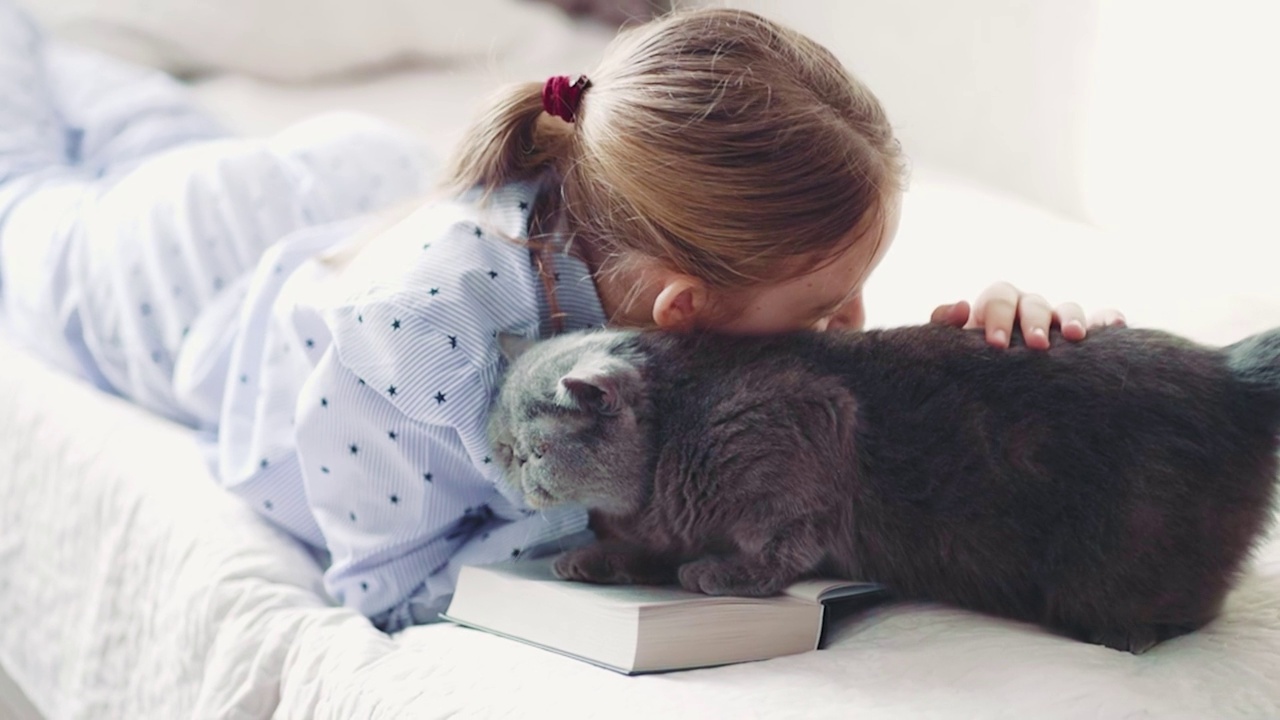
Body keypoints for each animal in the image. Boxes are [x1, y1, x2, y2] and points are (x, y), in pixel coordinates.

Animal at [483, 324, 1280, 650]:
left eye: (533, 451)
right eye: (503, 449)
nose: (508, 471)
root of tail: (1232, 370)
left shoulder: (809, 428)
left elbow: (780, 546)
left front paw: (720, 573)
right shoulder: (668, 519)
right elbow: (648, 546)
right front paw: (590, 558)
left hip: (1120, 553)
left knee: (1189, 608)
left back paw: (1130, 637)